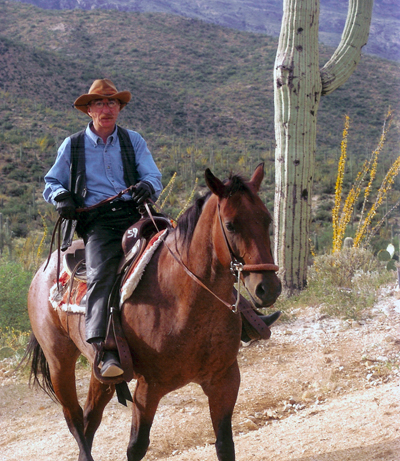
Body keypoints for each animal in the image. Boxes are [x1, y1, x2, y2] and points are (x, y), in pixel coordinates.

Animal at [27, 164, 282, 458]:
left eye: (267, 220)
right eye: (230, 224)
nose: (268, 288)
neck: (184, 302)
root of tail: (42, 270)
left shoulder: (225, 380)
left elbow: (225, 445)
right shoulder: (148, 388)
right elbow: (136, 447)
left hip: (100, 370)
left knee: (91, 417)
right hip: (59, 363)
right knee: (75, 420)